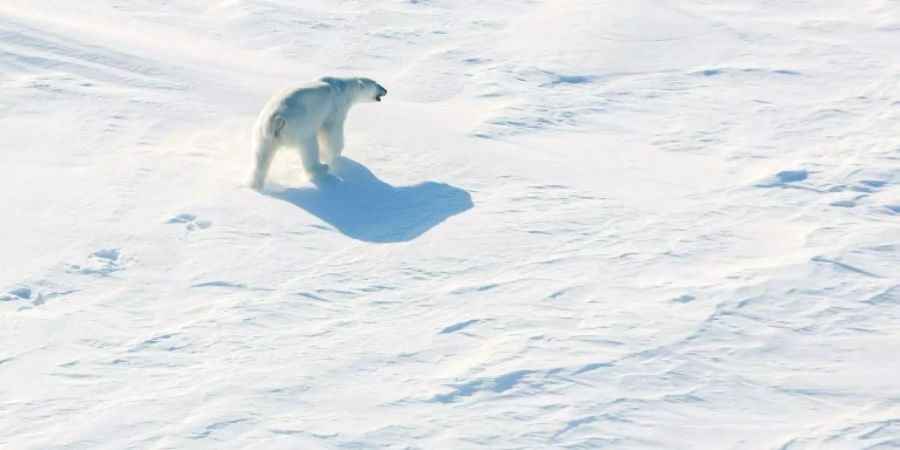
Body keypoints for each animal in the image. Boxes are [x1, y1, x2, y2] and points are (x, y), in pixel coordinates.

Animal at [246, 76, 386, 188]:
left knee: (261, 157)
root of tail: (275, 120)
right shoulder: (335, 107)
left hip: (263, 134)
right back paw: (322, 168)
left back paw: (254, 183)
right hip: (301, 126)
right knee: (309, 147)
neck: (341, 88)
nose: (385, 90)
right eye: (376, 83)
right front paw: (335, 153)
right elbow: (331, 132)